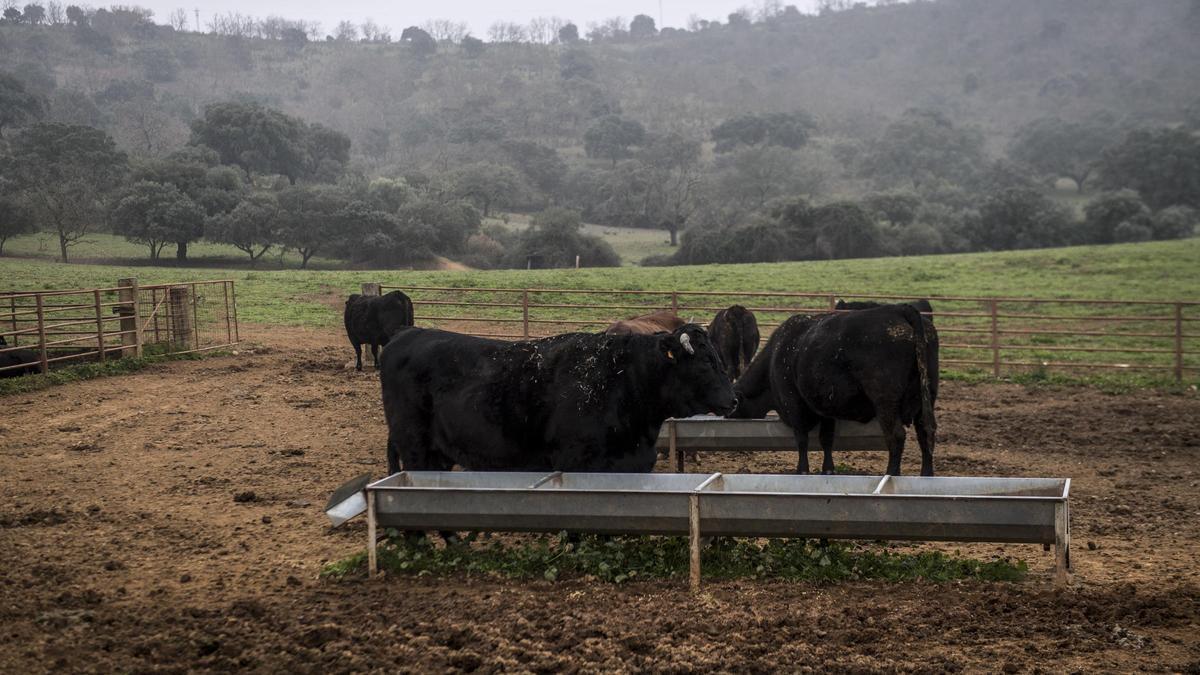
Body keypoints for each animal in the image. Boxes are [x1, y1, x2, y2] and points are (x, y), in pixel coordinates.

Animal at [380, 324, 736, 475]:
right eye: (705, 362)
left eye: (720, 356)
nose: (733, 400)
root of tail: (405, 335)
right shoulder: (578, 462)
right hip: (415, 448)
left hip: (437, 452)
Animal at [730, 303, 938, 476]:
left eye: (737, 405)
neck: (776, 356)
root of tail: (900, 309)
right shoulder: (825, 409)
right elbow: (826, 439)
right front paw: (828, 469)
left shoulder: (794, 404)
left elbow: (802, 439)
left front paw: (802, 470)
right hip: (926, 397)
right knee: (926, 432)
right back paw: (926, 475)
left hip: (885, 401)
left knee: (896, 436)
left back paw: (891, 474)